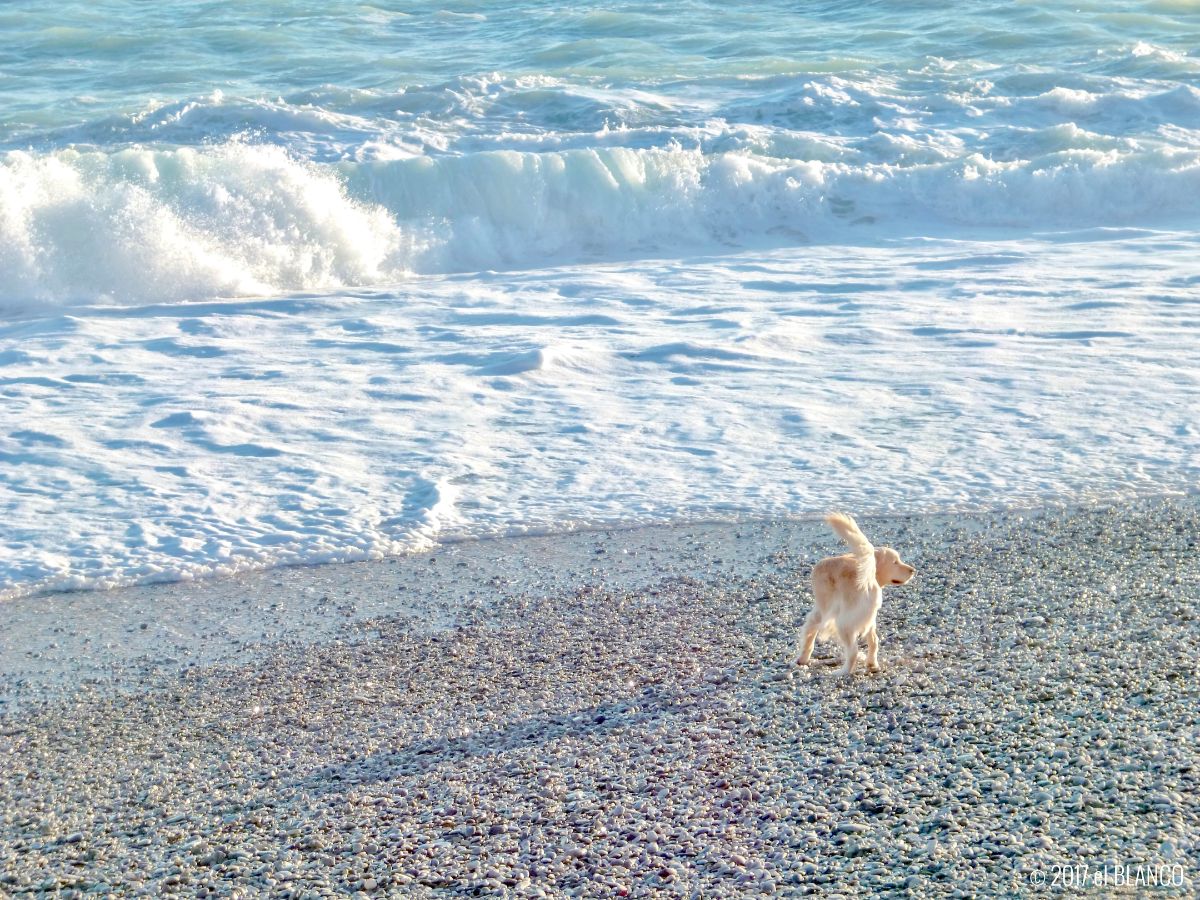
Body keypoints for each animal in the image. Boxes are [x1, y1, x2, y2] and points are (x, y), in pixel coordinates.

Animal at [796, 513, 916, 676]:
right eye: (895, 562)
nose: (913, 570)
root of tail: (868, 578)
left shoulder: (821, 611)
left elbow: (809, 634)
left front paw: (803, 658)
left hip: (843, 623)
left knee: (853, 651)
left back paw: (843, 671)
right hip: (867, 620)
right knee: (874, 641)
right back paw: (872, 664)